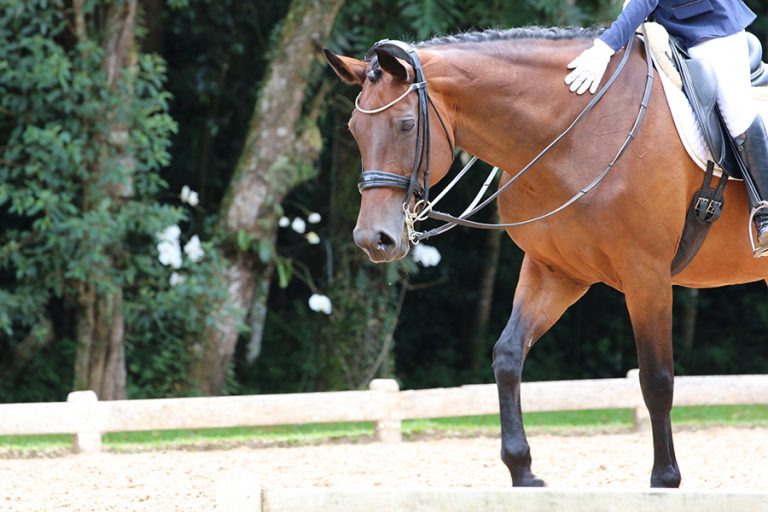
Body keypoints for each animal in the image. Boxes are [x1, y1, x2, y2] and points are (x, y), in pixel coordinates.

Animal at [322, 27, 768, 488]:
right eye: (354, 129)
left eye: (406, 124)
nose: (373, 239)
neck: (572, 132)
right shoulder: (554, 271)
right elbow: (507, 355)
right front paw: (522, 469)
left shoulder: (647, 275)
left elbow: (656, 378)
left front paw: (664, 480)